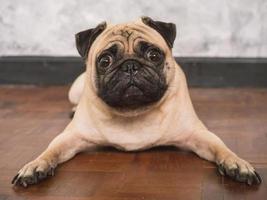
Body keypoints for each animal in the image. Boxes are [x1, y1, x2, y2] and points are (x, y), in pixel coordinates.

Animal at [12, 16, 262, 187]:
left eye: (153, 55)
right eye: (105, 61)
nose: (130, 65)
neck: (133, 112)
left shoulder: (198, 135)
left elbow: (221, 148)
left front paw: (237, 164)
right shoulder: (71, 137)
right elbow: (50, 151)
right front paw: (34, 166)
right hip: (74, 89)